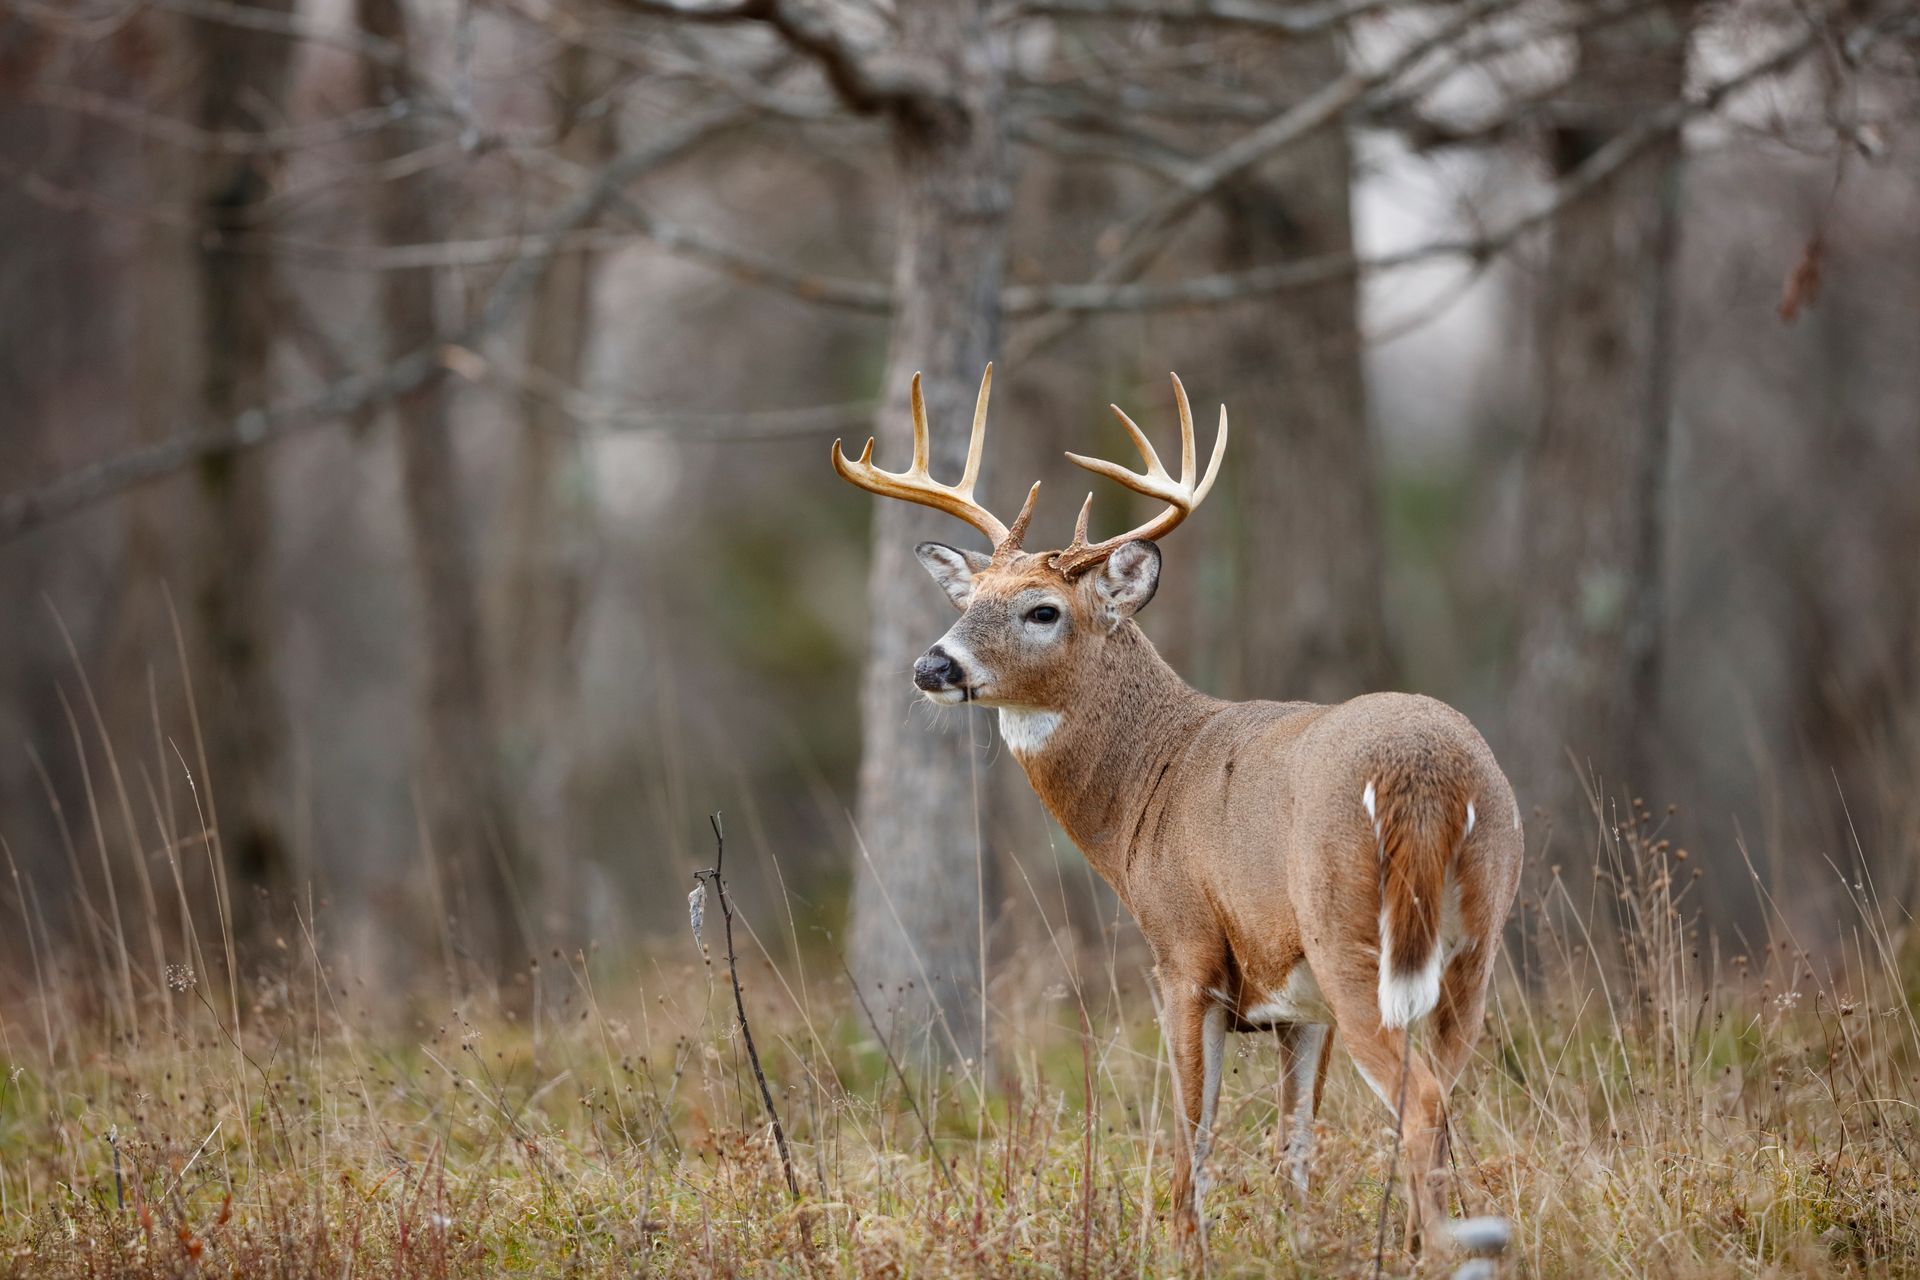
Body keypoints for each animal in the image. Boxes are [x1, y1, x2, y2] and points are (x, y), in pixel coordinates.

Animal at [832, 365, 1525, 1253]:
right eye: (969, 597)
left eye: (1042, 610)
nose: (931, 666)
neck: (1149, 787)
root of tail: (1427, 773)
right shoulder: (1297, 1004)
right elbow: (1294, 1145)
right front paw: (1295, 1248)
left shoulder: (1184, 948)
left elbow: (1191, 1131)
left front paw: (1183, 1246)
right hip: (1474, 941)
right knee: (1444, 1095)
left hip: (1351, 933)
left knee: (1423, 1104)